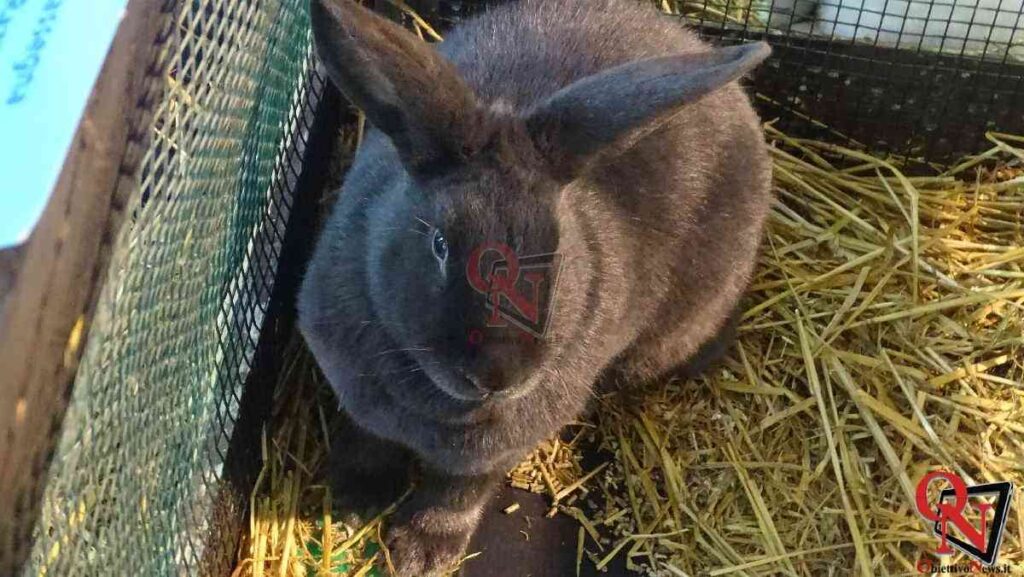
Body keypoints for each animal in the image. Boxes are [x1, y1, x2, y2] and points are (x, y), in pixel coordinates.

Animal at [298, 0, 773, 574]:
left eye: (558, 248)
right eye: (439, 243)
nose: (496, 374)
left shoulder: (490, 454)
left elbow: (457, 494)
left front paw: (421, 554)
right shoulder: (355, 394)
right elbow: (367, 438)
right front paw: (353, 502)